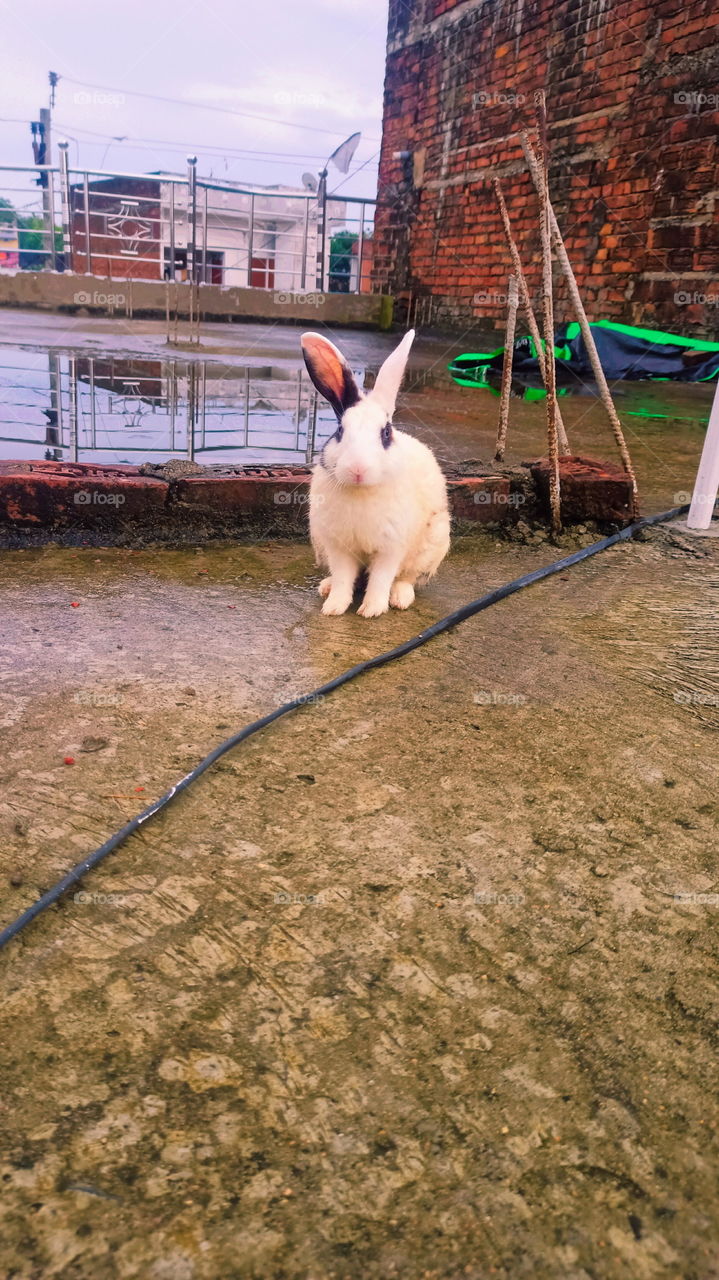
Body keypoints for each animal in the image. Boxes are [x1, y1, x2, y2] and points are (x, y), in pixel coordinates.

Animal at [301, 328, 450, 617]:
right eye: (340, 431)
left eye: (386, 433)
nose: (358, 469)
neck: (361, 491)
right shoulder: (339, 548)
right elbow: (344, 578)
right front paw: (333, 607)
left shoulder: (390, 549)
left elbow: (381, 578)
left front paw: (372, 610)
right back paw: (325, 586)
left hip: (430, 546)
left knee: (406, 578)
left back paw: (401, 598)